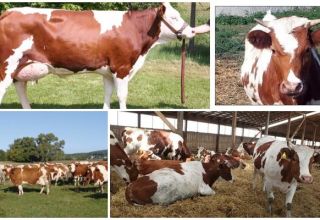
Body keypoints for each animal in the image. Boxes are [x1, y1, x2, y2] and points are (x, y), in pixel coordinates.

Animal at [0, 3, 198, 109]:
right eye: (173, 17)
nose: (191, 31)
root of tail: (9, 12)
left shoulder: (108, 71)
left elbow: (107, 94)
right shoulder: (122, 67)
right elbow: (122, 96)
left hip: (20, 67)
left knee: (21, 90)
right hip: (6, 66)